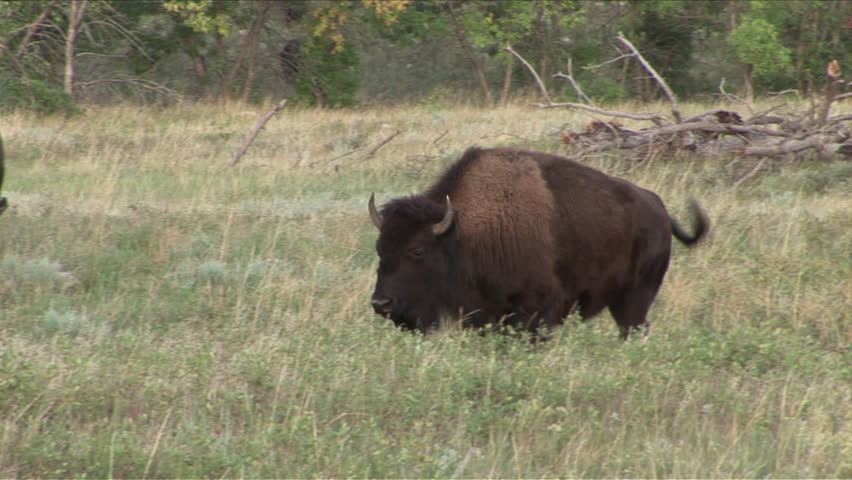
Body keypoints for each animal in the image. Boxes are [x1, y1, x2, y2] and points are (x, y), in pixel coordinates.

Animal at [368, 147, 707, 339]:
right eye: (380, 248)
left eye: (417, 250)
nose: (380, 304)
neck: (463, 232)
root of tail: (660, 210)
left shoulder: (538, 310)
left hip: (636, 297)